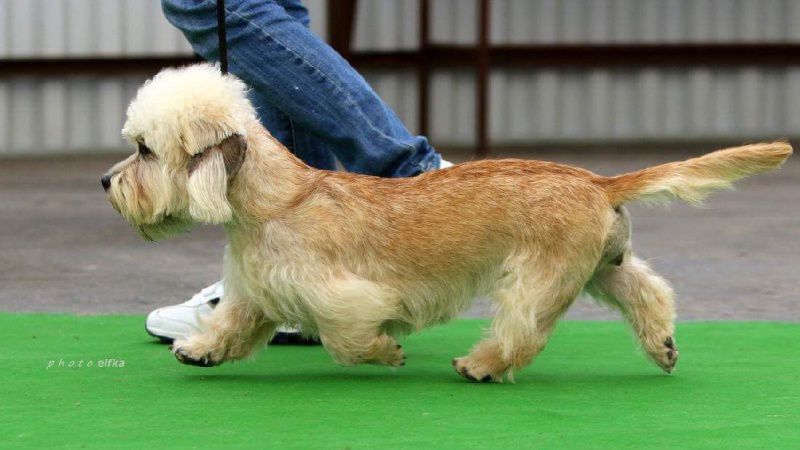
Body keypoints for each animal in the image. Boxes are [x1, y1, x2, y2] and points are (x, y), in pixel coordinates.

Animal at [101, 62, 792, 380]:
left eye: (145, 150)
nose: (105, 182)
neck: (277, 202)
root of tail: (596, 180)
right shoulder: (254, 290)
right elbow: (233, 323)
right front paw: (200, 349)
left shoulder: (343, 295)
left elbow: (347, 335)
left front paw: (386, 351)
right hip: (602, 267)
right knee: (649, 292)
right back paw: (663, 346)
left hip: (536, 280)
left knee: (523, 332)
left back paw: (480, 365)